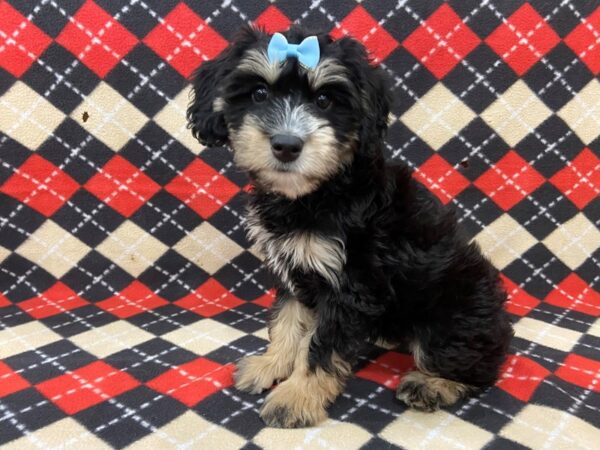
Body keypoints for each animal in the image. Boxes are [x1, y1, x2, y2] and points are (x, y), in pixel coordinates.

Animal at [186, 25, 510, 428]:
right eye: (259, 94)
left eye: (325, 100)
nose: (286, 145)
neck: (318, 193)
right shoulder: (294, 268)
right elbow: (288, 322)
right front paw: (271, 365)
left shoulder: (351, 283)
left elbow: (320, 346)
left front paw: (295, 398)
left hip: (451, 317)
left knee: (478, 367)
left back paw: (433, 384)